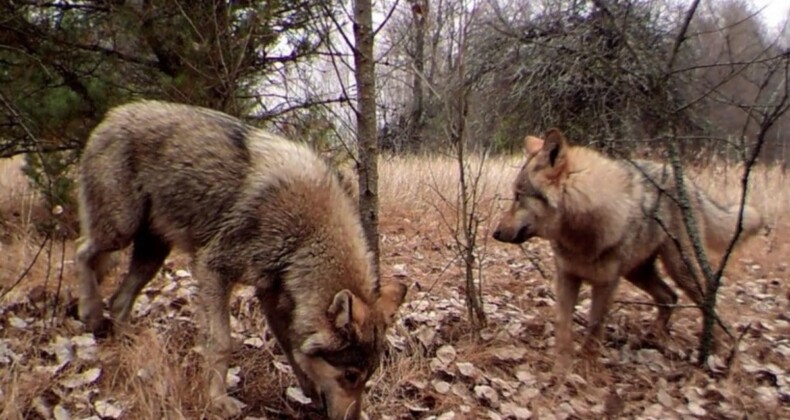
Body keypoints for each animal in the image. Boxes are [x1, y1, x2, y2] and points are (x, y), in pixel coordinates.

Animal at [76, 100, 408, 418]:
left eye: (366, 378)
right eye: (350, 375)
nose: (354, 418)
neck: (307, 236)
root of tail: (113, 115)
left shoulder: (271, 296)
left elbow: (293, 351)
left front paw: (309, 392)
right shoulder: (213, 269)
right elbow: (222, 343)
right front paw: (218, 401)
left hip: (152, 254)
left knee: (118, 299)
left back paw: (126, 343)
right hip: (120, 231)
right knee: (81, 253)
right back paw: (89, 312)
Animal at [496, 129, 760, 368]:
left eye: (518, 196)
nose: (495, 233)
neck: (582, 231)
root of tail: (688, 183)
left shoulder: (607, 283)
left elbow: (594, 328)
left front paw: (587, 369)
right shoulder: (567, 276)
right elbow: (562, 325)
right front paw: (560, 370)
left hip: (678, 268)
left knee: (706, 301)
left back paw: (716, 351)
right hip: (638, 272)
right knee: (669, 297)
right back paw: (652, 338)